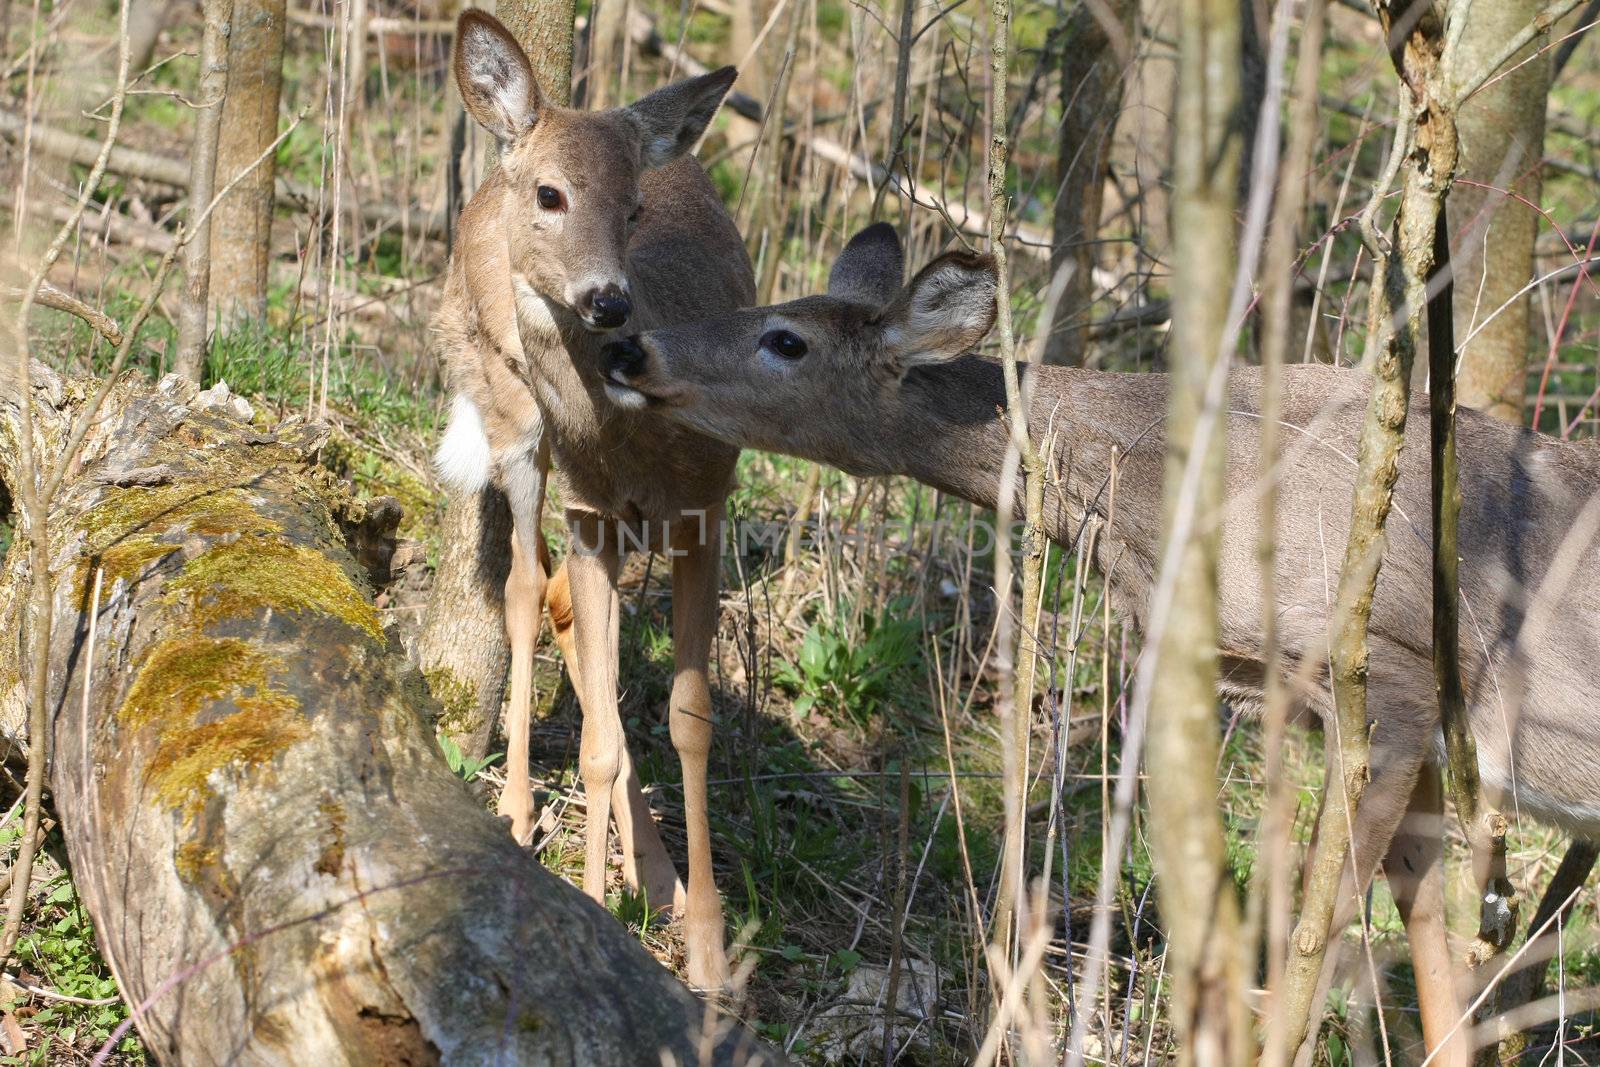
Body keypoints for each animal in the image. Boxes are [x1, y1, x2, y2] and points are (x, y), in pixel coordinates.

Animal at [432, 10, 755, 991]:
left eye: (636, 208)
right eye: (550, 194)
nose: (608, 300)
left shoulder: (704, 508)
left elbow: (687, 719)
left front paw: (706, 944)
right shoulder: (590, 511)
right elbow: (601, 741)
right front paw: (601, 910)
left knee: (566, 613)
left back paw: (658, 874)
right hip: (510, 417)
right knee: (521, 591)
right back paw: (514, 810)